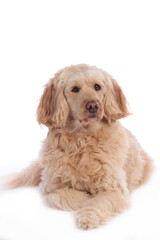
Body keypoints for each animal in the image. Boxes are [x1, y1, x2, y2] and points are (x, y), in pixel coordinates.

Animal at [6, 63, 154, 229]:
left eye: (97, 86)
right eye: (75, 89)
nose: (93, 106)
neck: (82, 140)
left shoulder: (114, 189)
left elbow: (97, 201)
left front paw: (87, 215)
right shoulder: (49, 186)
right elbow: (63, 196)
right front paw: (86, 197)